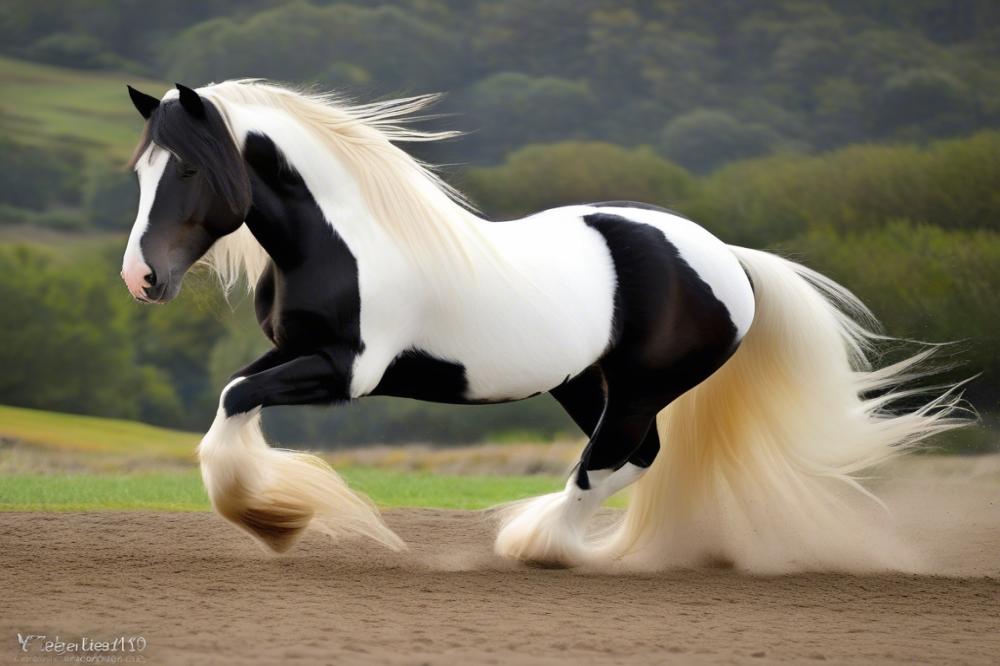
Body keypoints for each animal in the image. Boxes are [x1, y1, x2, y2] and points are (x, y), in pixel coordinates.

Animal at [121, 81, 964, 572]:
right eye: (141, 170)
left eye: (190, 168)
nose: (142, 278)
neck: (342, 236)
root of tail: (726, 258)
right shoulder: (297, 353)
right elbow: (233, 397)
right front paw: (277, 516)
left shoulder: (343, 371)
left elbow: (235, 402)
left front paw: (272, 517)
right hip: (582, 383)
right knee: (634, 459)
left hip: (638, 388)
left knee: (608, 462)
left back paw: (536, 544)